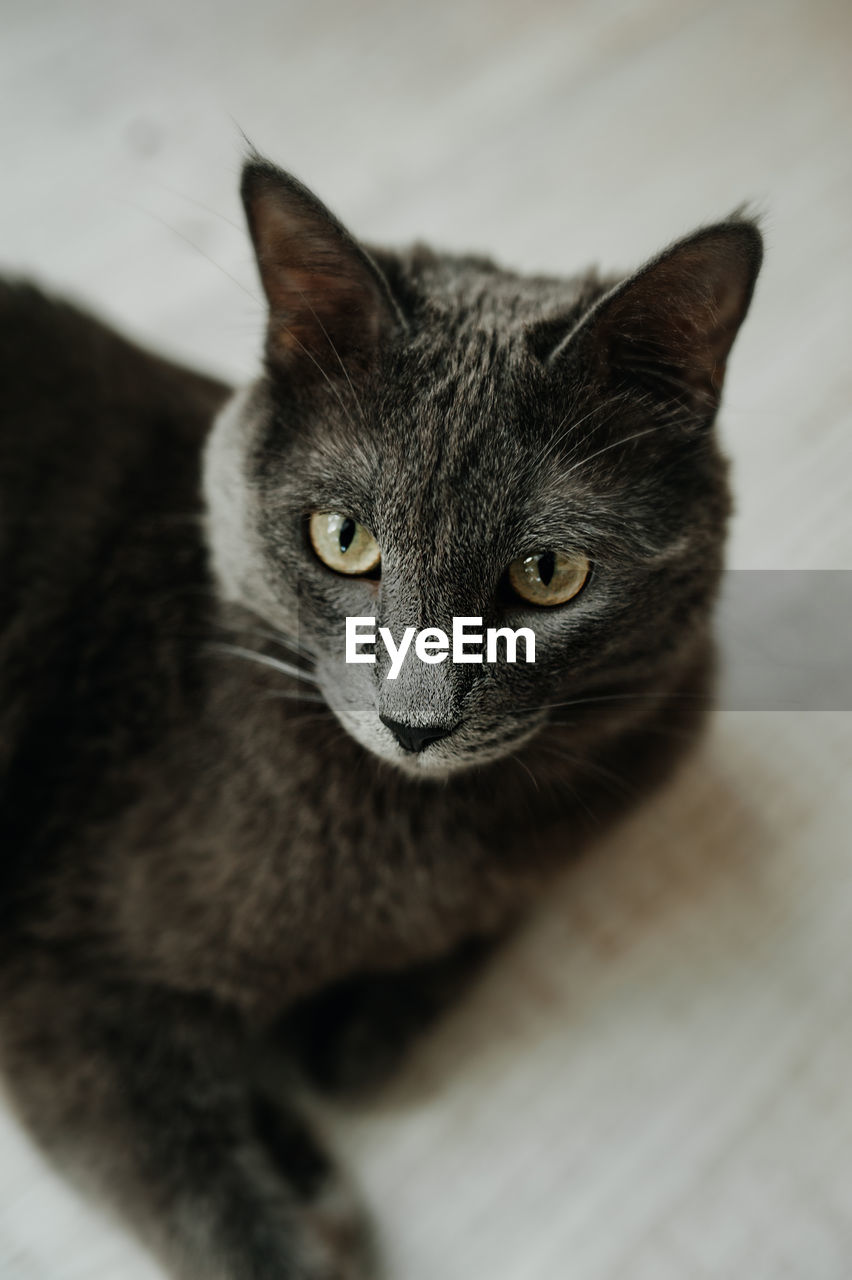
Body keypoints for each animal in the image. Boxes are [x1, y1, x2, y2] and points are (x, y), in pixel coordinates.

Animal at [0, 154, 757, 1274]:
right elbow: (207, 1196)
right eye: (343, 537)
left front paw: (342, 1052)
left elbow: (474, 926)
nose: (416, 719)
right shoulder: (50, 971)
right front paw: (305, 1207)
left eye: (549, 572)